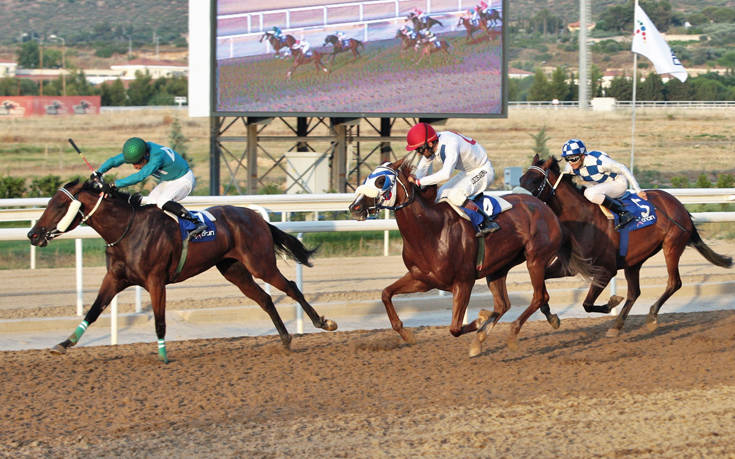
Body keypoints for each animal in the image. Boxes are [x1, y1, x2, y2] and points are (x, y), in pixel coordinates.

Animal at [27, 179, 338, 362]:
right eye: (49, 202)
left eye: (59, 204)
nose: (32, 234)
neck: (127, 229)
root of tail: (256, 217)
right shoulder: (114, 278)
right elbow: (93, 311)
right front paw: (64, 343)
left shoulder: (155, 281)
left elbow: (159, 321)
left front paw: (164, 356)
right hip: (234, 270)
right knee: (265, 299)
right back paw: (285, 339)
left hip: (260, 263)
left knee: (291, 288)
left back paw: (323, 323)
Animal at [348, 160, 572, 358]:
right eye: (368, 178)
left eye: (381, 180)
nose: (354, 207)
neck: (431, 230)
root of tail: (543, 206)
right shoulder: (422, 279)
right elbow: (386, 293)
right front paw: (406, 334)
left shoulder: (464, 282)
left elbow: (455, 327)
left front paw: (480, 319)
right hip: (498, 268)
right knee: (504, 304)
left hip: (536, 259)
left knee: (539, 296)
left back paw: (513, 333)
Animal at [520, 156, 732, 336]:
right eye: (522, 179)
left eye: (535, 180)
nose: (523, 204)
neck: (584, 220)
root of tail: (679, 205)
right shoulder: (569, 266)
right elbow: (541, 287)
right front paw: (551, 317)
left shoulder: (606, 270)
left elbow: (587, 304)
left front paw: (613, 301)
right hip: (634, 260)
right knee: (635, 292)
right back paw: (617, 325)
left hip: (672, 245)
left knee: (674, 283)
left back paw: (651, 315)